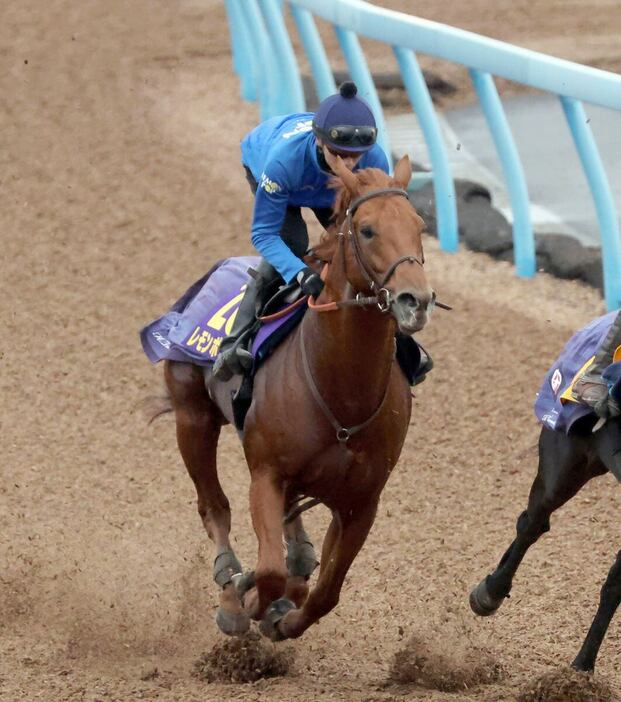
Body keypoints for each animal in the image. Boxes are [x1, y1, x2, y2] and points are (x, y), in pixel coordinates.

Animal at [161, 155, 432, 644]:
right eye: (367, 230)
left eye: (419, 225)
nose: (415, 300)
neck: (342, 397)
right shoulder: (266, 474)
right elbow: (268, 572)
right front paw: (247, 600)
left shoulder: (361, 503)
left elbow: (325, 592)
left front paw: (284, 618)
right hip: (192, 415)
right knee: (214, 507)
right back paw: (231, 583)